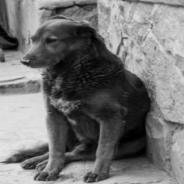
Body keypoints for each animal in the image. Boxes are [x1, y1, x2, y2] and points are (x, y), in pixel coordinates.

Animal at [3, 16, 151, 183]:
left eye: (51, 40)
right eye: (33, 39)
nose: (24, 61)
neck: (69, 73)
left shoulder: (111, 118)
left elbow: (103, 150)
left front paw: (98, 173)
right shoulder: (54, 116)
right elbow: (55, 149)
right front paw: (50, 170)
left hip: (133, 144)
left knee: (77, 153)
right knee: (62, 149)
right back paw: (37, 161)